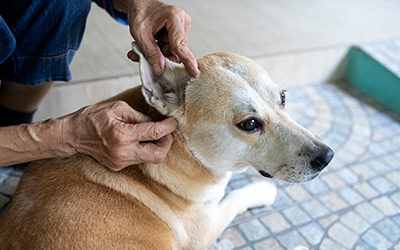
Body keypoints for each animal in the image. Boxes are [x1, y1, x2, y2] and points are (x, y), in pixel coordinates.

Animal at [0, 45, 332, 250]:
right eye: (249, 124)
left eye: (283, 97)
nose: (326, 157)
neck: (186, 152)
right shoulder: (203, 229)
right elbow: (236, 197)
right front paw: (262, 191)